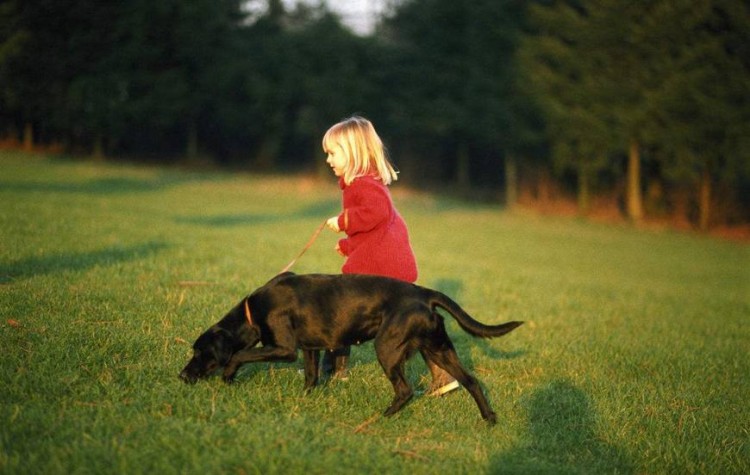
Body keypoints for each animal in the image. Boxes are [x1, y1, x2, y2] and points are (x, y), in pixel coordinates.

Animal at [181, 274, 524, 426]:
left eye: (199, 352)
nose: (182, 376)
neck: (252, 312)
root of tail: (425, 294)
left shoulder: (285, 349)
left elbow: (240, 354)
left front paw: (228, 375)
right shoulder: (310, 348)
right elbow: (311, 377)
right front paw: (305, 400)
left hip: (387, 347)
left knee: (405, 390)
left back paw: (383, 417)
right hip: (439, 349)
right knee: (471, 381)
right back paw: (489, 418)